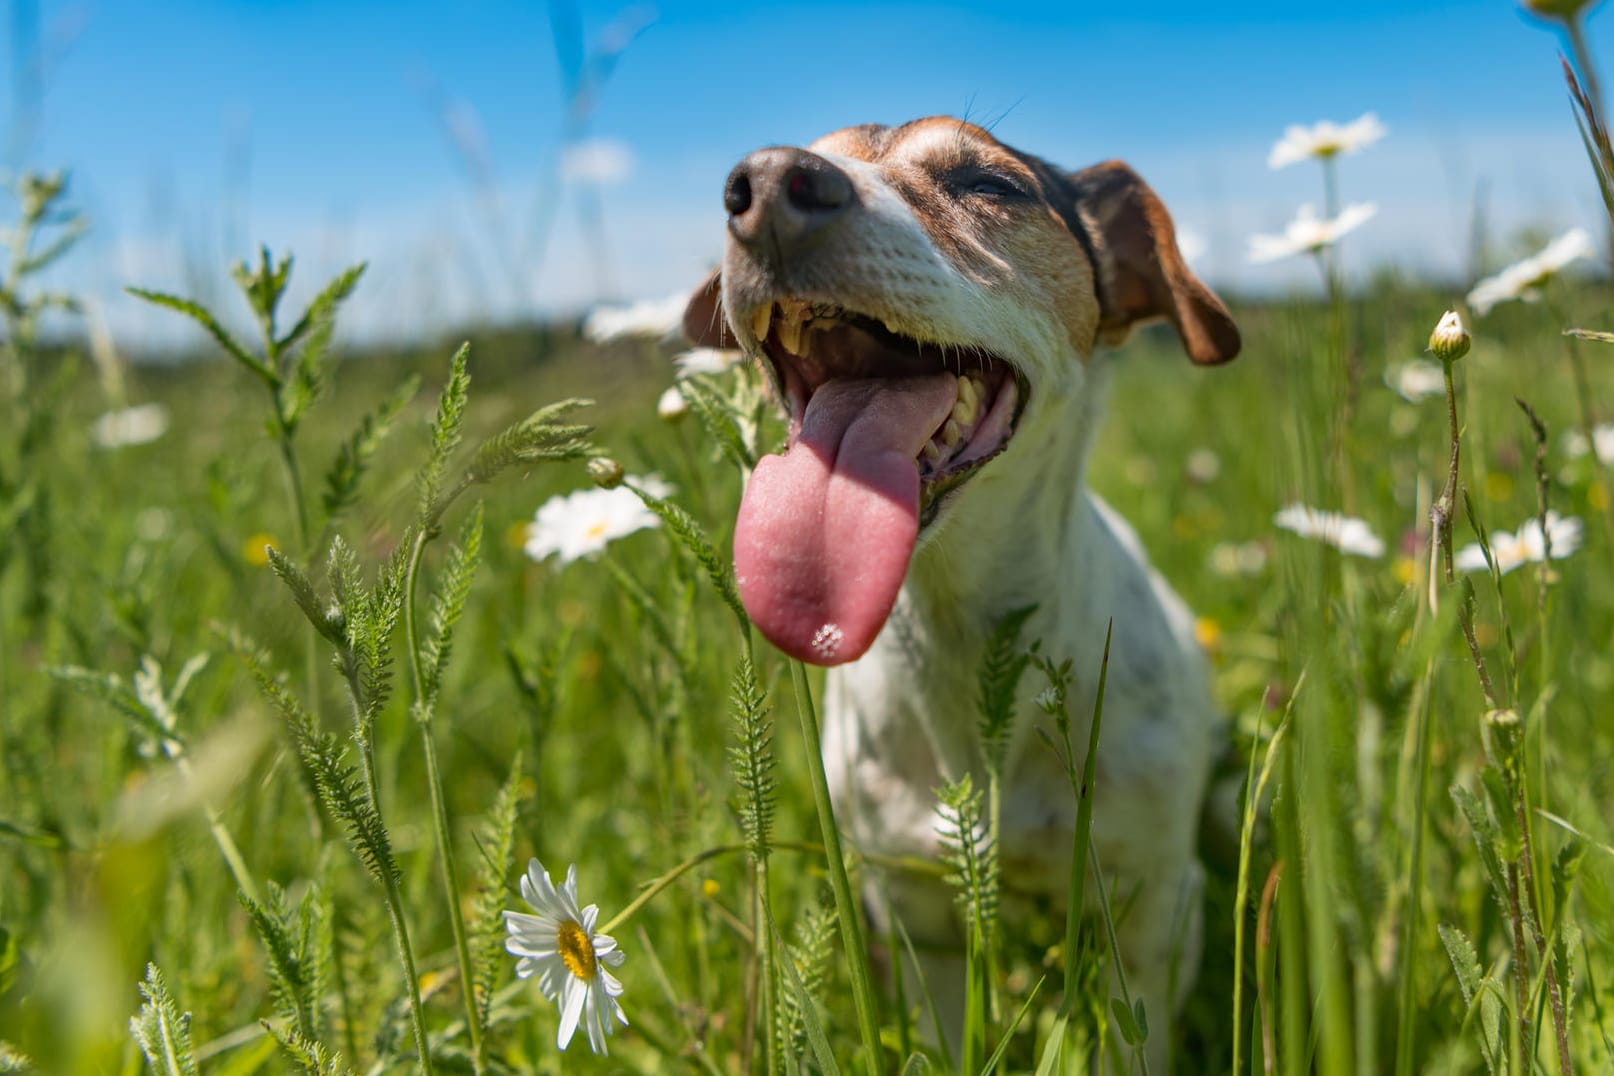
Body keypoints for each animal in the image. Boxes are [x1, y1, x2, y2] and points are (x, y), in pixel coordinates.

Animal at [681, 117, 1233, 1071]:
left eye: (989, 184)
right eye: (738, 186)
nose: (767, 185)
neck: (963, 639)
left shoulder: (1151, 911)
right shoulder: (919, 917)